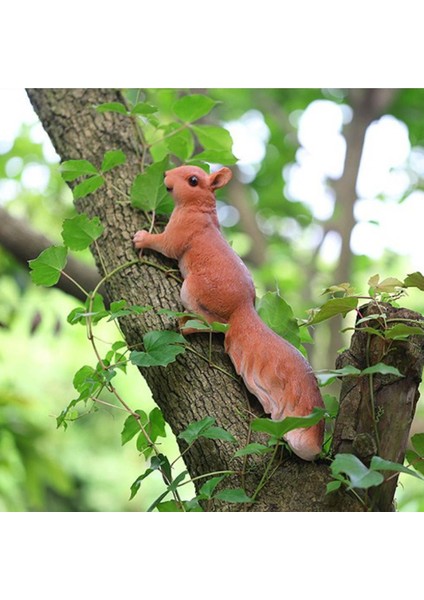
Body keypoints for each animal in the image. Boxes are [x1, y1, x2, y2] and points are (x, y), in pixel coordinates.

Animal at [133, 164, 324, 460]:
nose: (166, 176)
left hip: (192, 291)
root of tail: (242, 311)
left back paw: (188, 325)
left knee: (213, 325)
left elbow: (166, 244)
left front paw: (143, 238)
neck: (200, 210)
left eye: (193, 180)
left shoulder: (182, 231)